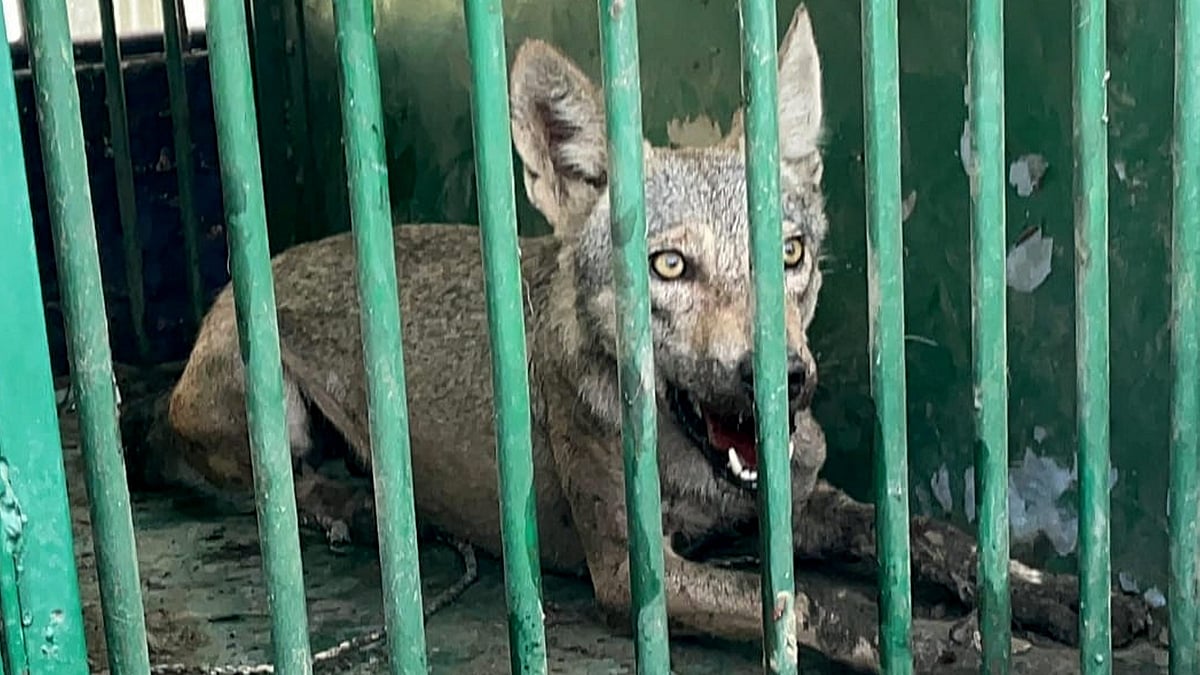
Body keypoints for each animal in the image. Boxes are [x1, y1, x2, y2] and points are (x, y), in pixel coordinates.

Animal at [121, 4, 1149, 671]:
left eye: (790, 253)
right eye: (669, 266)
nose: (784, 377)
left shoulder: (806, 500)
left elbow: (933, 538)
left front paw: (1060, 595)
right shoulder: (637, 575)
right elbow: (816, 603)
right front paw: (934, 640)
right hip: (274, 412)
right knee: (274, 482)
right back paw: (351, 502)